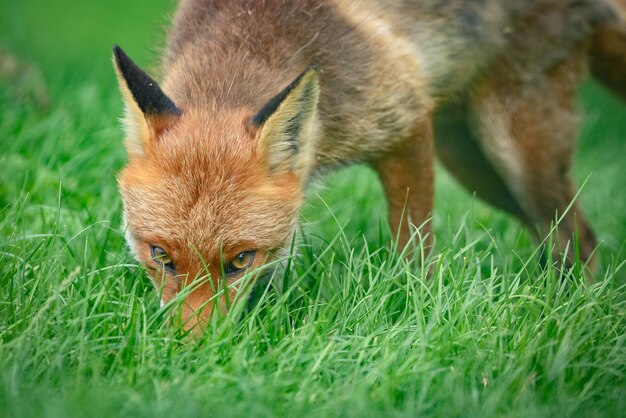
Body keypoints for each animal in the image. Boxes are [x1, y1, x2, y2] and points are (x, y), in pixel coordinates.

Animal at [112, 0, 624, 334]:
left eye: (240, 260)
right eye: (160, 255)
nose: (195, 350)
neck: (246, 35)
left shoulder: (407, 121)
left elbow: (413, 248)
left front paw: (417, 315)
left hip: (512, 151)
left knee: (580, 239)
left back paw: (572, 322)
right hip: (475, 166)